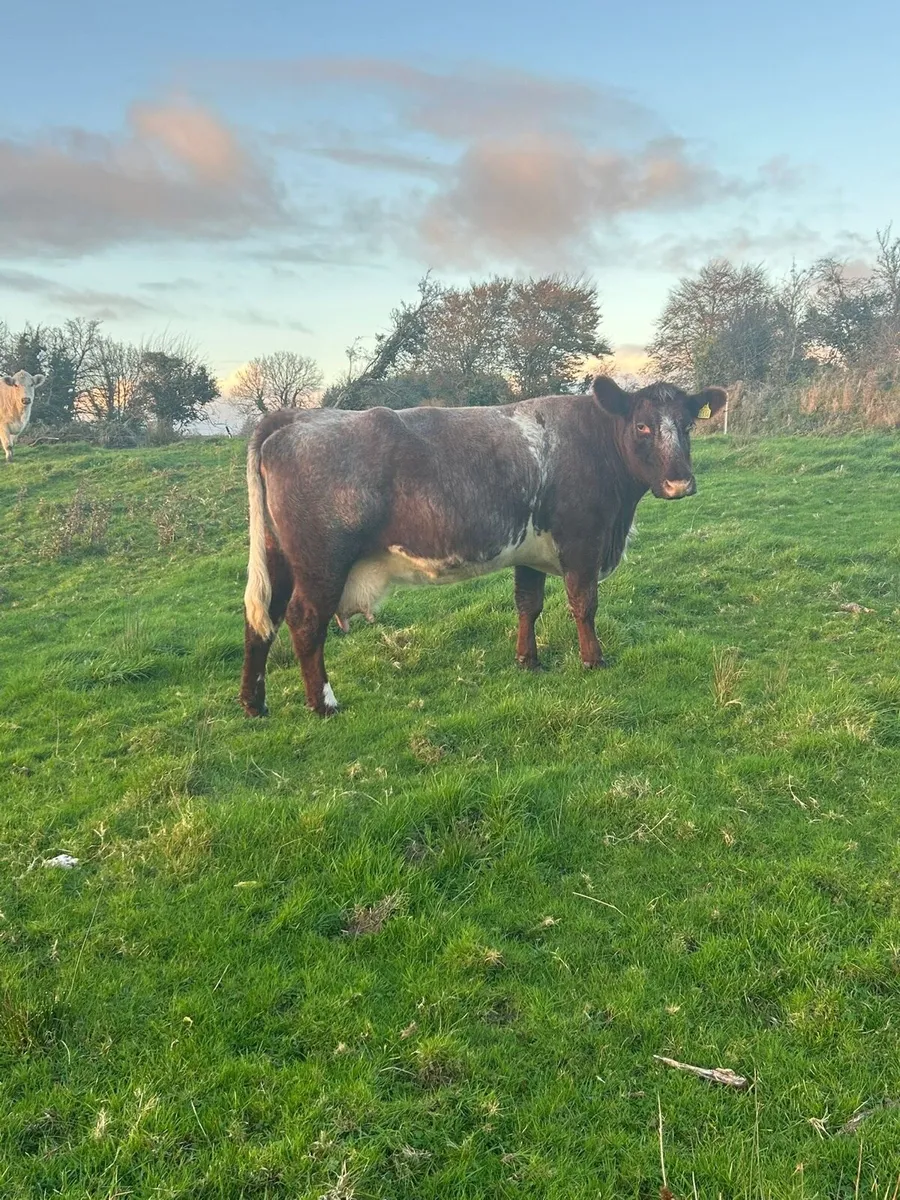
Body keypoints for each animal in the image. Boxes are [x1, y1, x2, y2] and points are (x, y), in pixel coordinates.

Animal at [239, 375, 728, 717]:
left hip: (281, 559)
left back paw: (253, 703)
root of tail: (298, 418)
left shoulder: (531, 552)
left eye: (687, 425)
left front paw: (528, 661)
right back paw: (323, 704)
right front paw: (594, 660)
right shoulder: (583, 543)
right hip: (321, 564)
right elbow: (584, 604)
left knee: (263, 619)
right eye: (642, 426)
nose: (680, 483)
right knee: (304, 622)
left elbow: (528, 604)